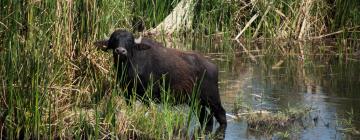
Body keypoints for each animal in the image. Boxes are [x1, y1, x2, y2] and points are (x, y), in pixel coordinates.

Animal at [94, 29, 226, 133]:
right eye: (114, 39)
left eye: (130, 41)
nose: (120, 51)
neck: (130, 67)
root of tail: (213, 66)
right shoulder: (128, 94)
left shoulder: (147, 96)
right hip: (195, 101)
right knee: (206, 119)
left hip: (213, 99)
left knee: (221, 115)